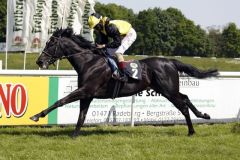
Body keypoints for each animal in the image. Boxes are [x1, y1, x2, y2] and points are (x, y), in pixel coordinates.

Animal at [29, 27, 218, 138]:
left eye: (51, 43)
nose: (39, 61)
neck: (89, 62)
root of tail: (170, 62)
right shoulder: (88, 94)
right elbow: (82, 115)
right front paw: (74, 135)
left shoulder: (85, 90)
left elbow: (60, 101)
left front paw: (37, 115)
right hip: (167, 89)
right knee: (185, 97)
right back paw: (203, 115)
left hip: (168, 90)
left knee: (183, 105)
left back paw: (192, 131)